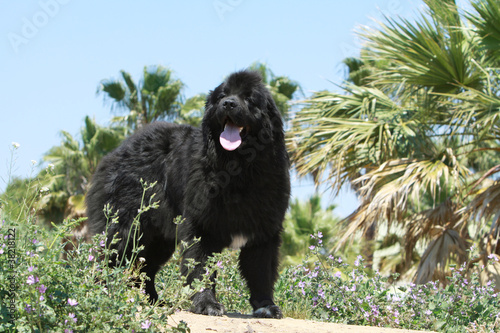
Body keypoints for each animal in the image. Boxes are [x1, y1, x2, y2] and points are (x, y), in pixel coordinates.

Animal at [85, 70, 290, 316]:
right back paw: (102, 296)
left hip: (159, 236)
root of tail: (115, 152)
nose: (228, 103)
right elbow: (200, 268)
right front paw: (207, 304)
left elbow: (261, 272)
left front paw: (266, 306)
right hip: (125, 225)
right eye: (223, 95)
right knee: (108, 258)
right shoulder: (201, 226)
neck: (238, 170)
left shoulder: (264, 231)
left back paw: (155, 301)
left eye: (249, 98)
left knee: (145, 269)